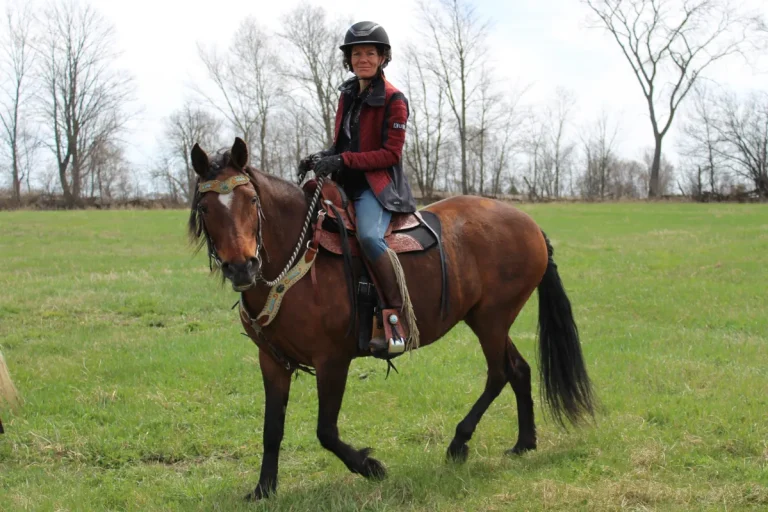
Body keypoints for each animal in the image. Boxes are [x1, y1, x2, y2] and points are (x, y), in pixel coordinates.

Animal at [187, 138, 595, 500]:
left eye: (252, 200)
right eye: (205, 208)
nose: (242, 266)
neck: (299, 254)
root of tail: (530, 225)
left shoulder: (332, 360)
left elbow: (326, 431)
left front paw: (370, 467)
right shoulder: (271, 360)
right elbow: (272, 428)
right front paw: (263, 489)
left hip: (492, 319)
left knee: (499, 374)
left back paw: (459, 442)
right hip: (486, 319)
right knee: (519, 370)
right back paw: (524, 443)